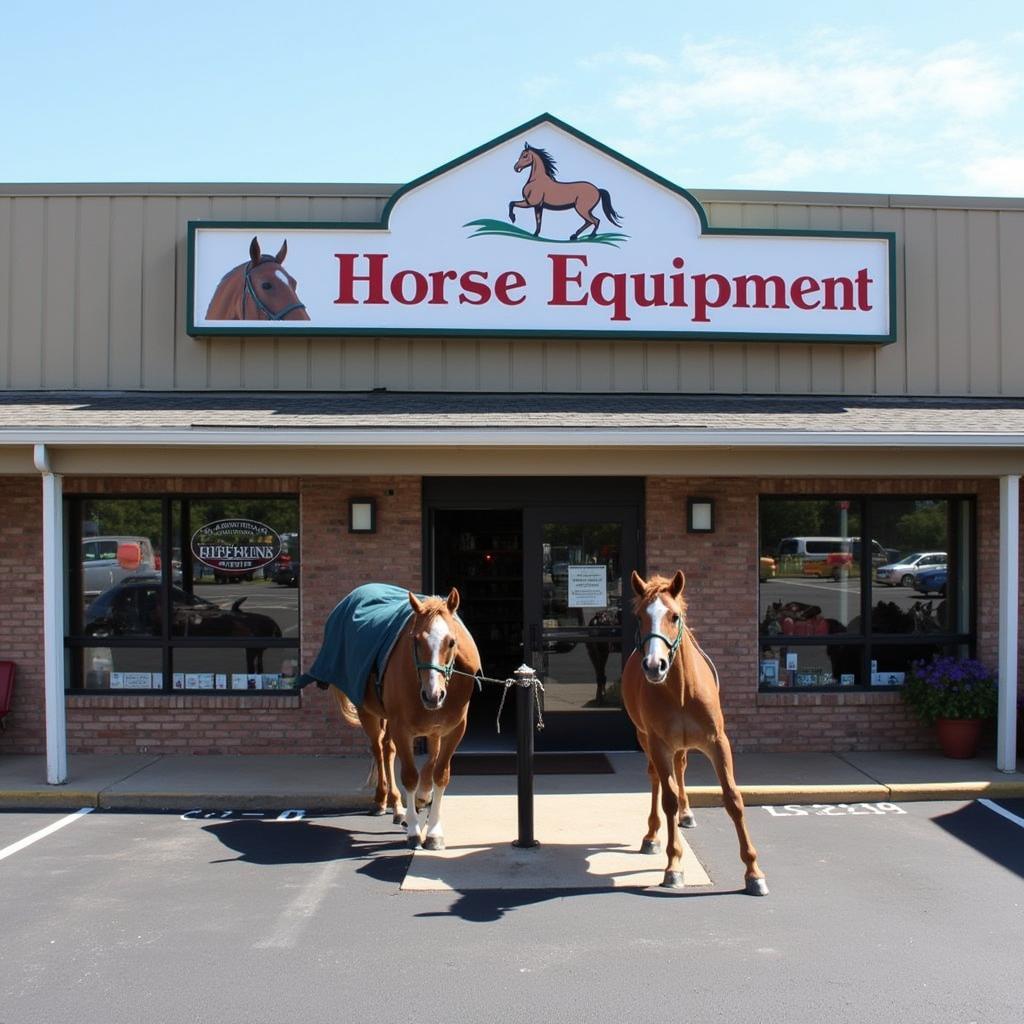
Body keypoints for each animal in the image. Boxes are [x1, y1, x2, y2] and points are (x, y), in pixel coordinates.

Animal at [333, 589, 481, 851]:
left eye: (451, 642)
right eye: (416, 641)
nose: (433, 695)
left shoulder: (450, 730)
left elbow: (438, 772)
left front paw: (432, 827)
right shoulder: (402, 729)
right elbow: (410, 776)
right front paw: (414, 830)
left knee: (387, 749)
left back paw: (396, 806)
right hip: (368, 713)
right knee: (378, 750)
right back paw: (384, 801)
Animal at [618, 573, 765, 892]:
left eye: (675, 616)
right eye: (639, 617)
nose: (654, 665)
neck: (681, 690)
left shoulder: (718, 742)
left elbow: (733, 798)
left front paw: (753, 871)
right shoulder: (659, 744)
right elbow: (668, 800)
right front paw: (674, 866)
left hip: (683, 744)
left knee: (681, 767)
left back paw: (687, 813)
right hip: (646, 739)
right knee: (657, 779)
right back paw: (652, 836)